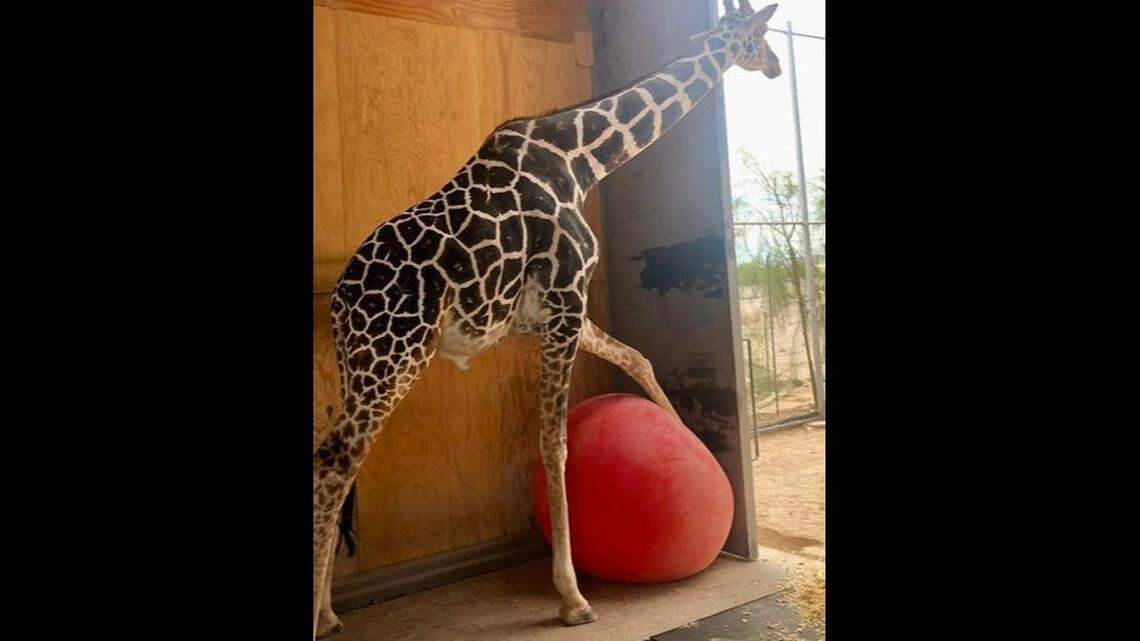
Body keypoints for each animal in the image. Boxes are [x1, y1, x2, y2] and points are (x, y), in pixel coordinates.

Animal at [313, 2, 782, 636]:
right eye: (759, 38)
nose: (776, 67)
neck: (582, 161)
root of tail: (340, 300)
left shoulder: (555, 312)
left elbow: (638, 357)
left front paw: (678, 428)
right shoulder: (566, 296)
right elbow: (554, 443)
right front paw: (572, 596)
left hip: (362, 366)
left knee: (339, 463)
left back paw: (329, 608)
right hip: (392, 358)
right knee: (334, 461)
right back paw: (320, 615)